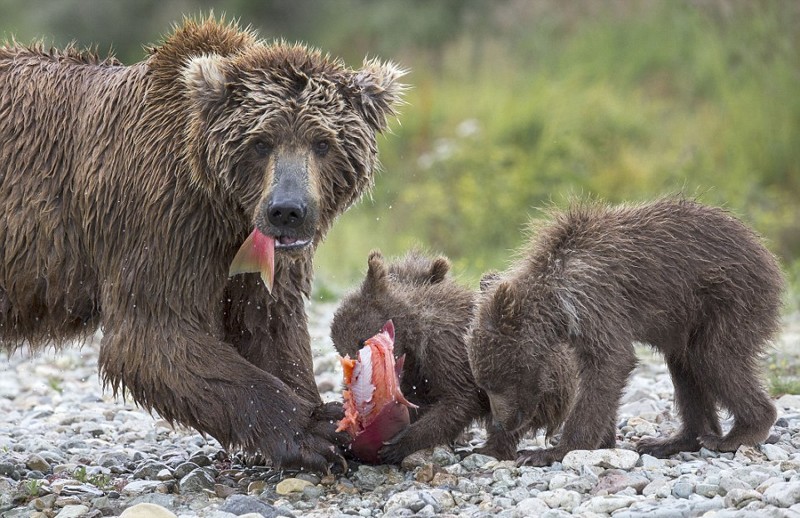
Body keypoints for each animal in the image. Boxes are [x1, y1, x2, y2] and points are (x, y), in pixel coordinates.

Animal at [0, 16, 404, 474]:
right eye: (260, 142)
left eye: (323, 143)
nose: (287, 210)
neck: (224, 207)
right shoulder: (161, 215)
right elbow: (155, 336)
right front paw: (312, 431)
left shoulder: (253, 257)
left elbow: (269, 327)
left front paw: (329, 415)